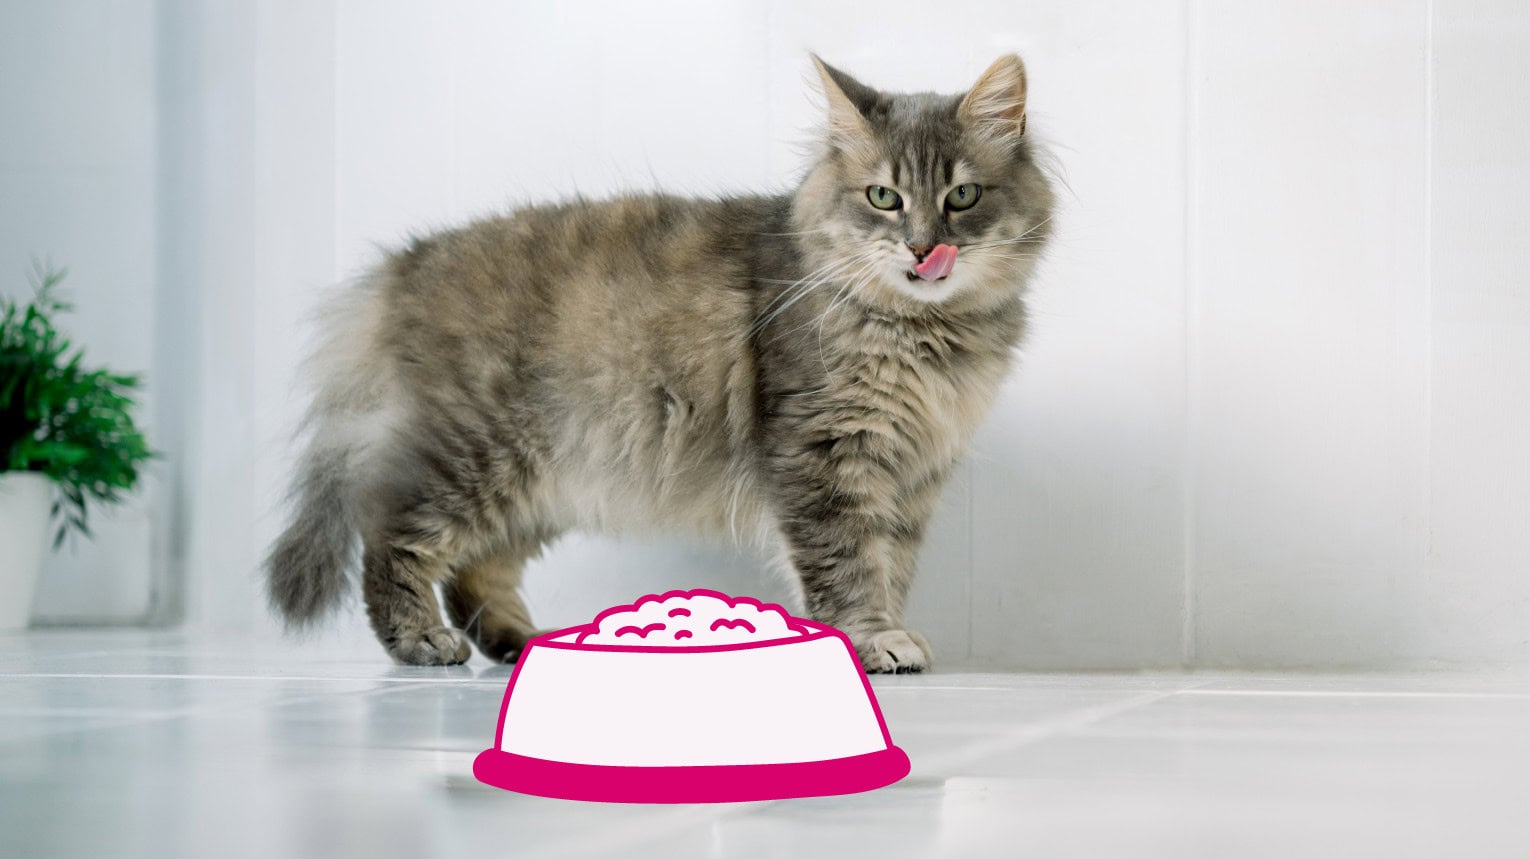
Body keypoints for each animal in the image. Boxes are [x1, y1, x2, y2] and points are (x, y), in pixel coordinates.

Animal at [263, 53, 1052, 673]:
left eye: (962, 197)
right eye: (884, 198)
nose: (924, 249)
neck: (926, 335)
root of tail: (406, 264)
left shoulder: (913, 474)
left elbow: (891, 564)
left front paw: (890, 630)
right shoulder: (823, 454)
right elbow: (847, 564)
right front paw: (870, 640)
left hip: (538, 481)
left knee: (475, 569)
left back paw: (521, 640)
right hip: (472, 454)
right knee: (389, 530)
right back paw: (420, 639)